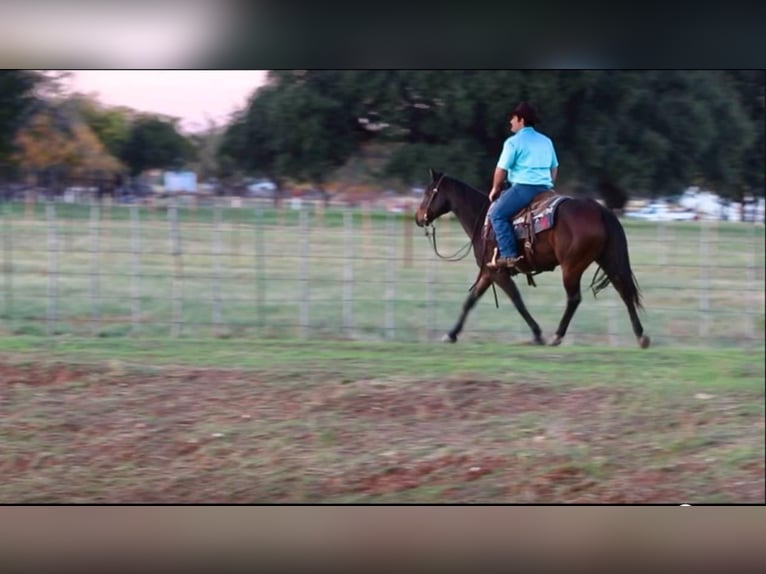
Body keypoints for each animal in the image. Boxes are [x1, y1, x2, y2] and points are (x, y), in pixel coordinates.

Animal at [413, 168, 650, 348]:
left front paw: (537, 334)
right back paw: (641, 336)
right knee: (624, 292)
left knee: (574, 298)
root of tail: (600, 210)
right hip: (608, 260)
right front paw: (451, 334)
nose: (418, 217)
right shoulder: (488, 272)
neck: (482, 221)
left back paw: (556, 336)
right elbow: (470, 301)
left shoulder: (498, 272)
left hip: (572, 266)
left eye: (428, 192)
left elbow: (517, 300)